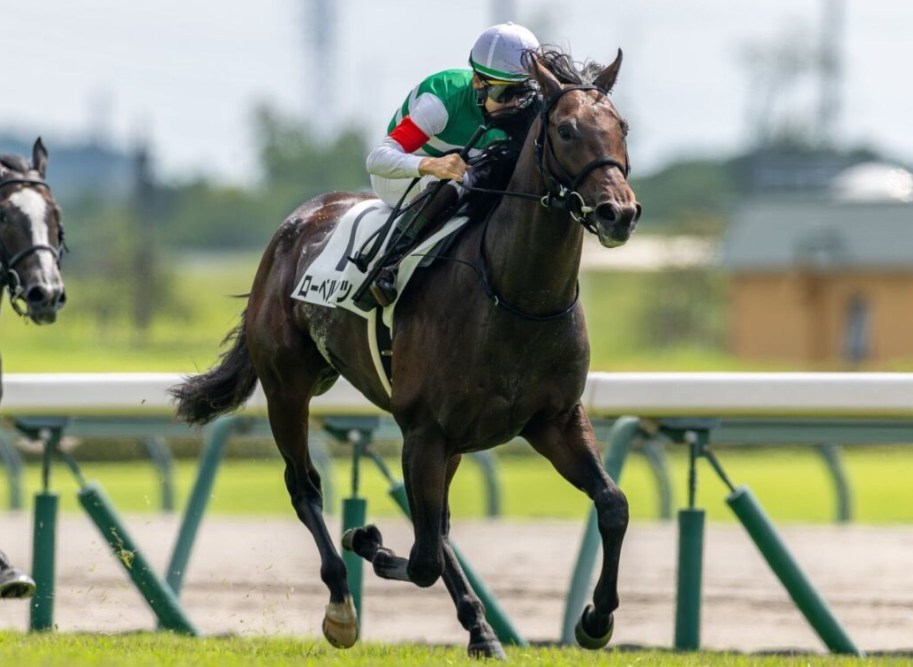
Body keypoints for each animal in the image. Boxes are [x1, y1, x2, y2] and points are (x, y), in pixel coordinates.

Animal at [171, 49, 640, 659]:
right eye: (565, 129)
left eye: (621, 127)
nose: (618, 213)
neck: (514, 295)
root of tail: (296, 224)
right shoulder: (423, 431)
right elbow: (420, 559)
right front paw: (365, 538)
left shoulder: (553, 420)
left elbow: (612, 504)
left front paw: (596, 619)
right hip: (287, 388)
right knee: (307, 489)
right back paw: (342, 606)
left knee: (437, 528)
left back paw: (481, 631)